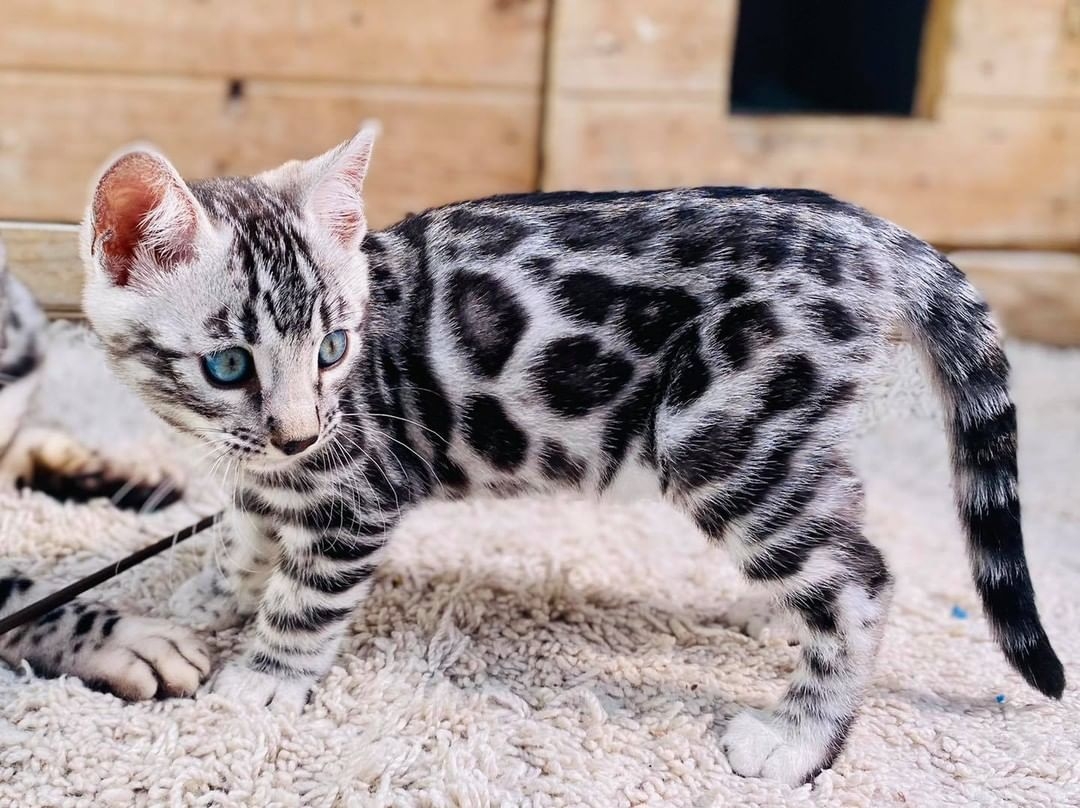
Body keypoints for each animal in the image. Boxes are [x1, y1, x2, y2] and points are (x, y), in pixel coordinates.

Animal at [78, 131, 1062, 782]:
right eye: (229, 365)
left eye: (332, 348)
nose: (299, 430)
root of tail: (870, 232)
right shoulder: (266, 472)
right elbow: (245, 528)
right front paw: (213, 592)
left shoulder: (359, 493)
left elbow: (306, 599)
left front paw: (263, 680)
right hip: (781, 432)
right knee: (843, 518)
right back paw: (780, 620)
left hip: (717, 434)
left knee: (860, 577)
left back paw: (798, 738)